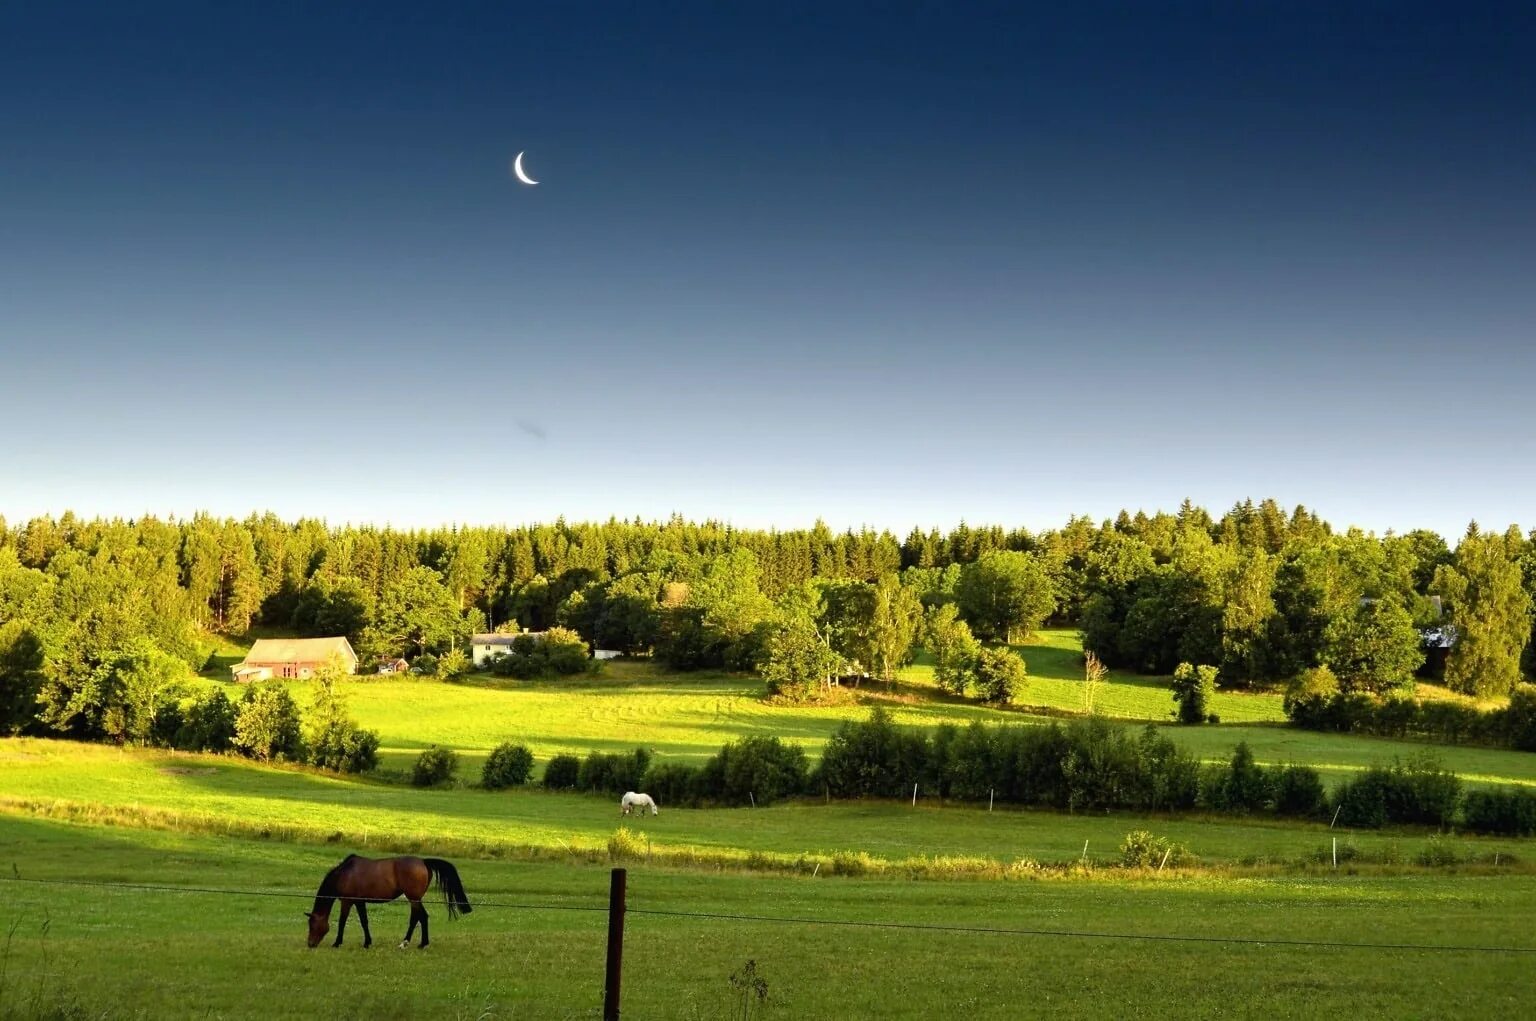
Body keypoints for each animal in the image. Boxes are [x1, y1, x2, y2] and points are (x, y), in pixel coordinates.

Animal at [299, 853, 466, 945]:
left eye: (312, 925)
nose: (310, 944)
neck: (344, 874)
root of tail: (423, 862)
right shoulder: (359, 902)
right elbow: (364, 922)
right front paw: (367, 942)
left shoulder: (347, 901)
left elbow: (342, 922)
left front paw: (337, 942)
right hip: (416, 899)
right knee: (421, 917)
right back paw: (420, 943)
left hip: (413, 899)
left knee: (419, 917)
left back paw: (407, 943)